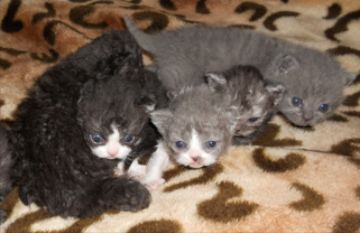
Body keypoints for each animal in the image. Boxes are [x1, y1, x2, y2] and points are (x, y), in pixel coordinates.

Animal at [125, 15, 356, 127]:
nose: (307, 119)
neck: (273, 57)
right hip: (179, 72)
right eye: (296, 101)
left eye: (323, 107)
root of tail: (164, 41)